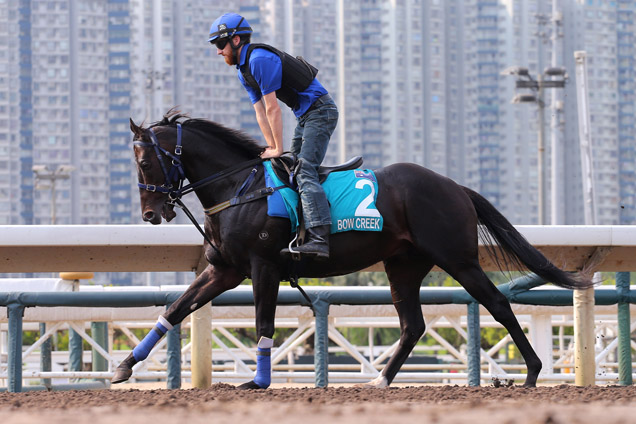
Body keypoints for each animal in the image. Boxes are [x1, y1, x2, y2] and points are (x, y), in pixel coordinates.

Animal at [113, 111, 592, 390]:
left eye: (146, 161)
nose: (152, 214)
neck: (239, 188)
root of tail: (455, 187)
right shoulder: (223, 270)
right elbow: (175, 309)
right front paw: (124, 367)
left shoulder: (263, 266)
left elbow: (264, 322)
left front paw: (259, 382)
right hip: (403, 266)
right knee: (413, 324)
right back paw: (380, 380)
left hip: (458, 258)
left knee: (497, 304)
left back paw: (531, 372)